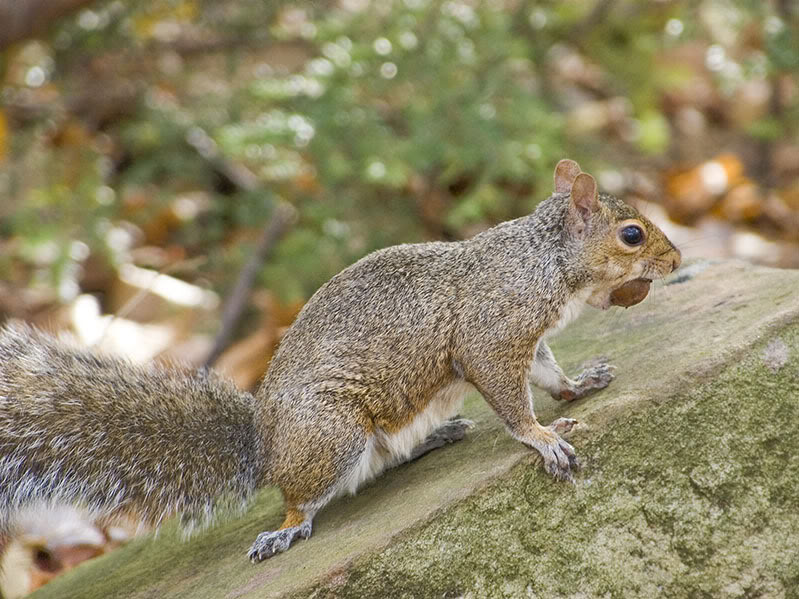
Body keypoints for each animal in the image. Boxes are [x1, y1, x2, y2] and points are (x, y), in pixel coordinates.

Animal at [0, 160, 681, 565]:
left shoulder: (528, 340)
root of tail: (266, 445)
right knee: (303, 498)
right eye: (631, 235)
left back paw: (436, 437)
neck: (542, 262)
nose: (676, 260)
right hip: (333, 433)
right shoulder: (491, 334)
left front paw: (578, 386)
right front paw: (541, 437)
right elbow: (511, 400)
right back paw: (287, 528)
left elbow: (547, 373)